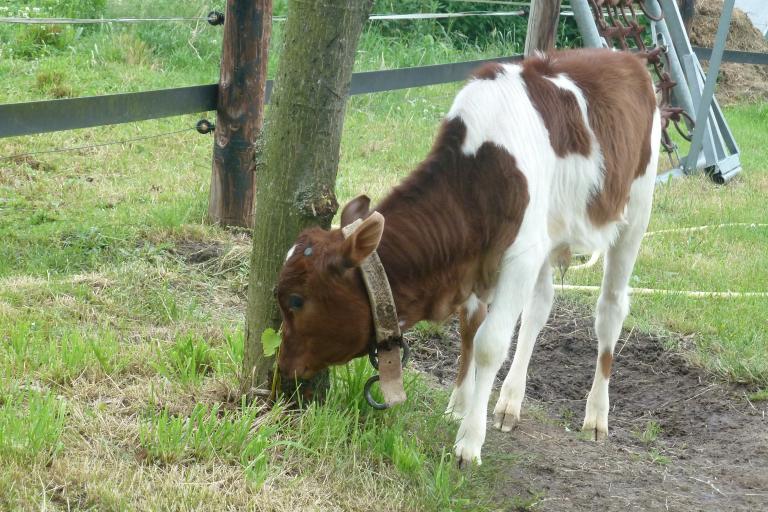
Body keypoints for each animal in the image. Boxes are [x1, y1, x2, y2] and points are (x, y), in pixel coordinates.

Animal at [276, 48, 660, 464]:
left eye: (296, 301)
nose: (282, 366)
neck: (480, 171)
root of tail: (626, 57)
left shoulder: (520, 255)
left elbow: (490, 343)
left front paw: (469, 441)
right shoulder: (487, 257)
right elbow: (469, 330)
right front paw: (459, 404)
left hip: (637, 211)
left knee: (611, 309)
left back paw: (596, 416)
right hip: (550, 229)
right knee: (539, 306)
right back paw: (509, 402)